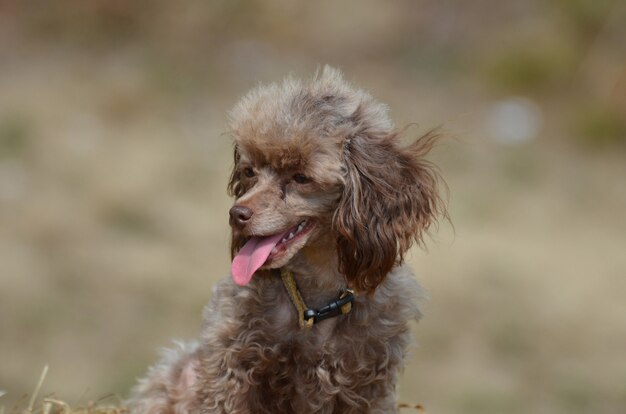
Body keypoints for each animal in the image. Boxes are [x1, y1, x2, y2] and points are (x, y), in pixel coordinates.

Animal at [128, 66, 444, 412]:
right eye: (250, 172)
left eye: (301, 178)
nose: (236, 214)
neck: (317, 301)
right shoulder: (229, 366)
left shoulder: (370, 384)